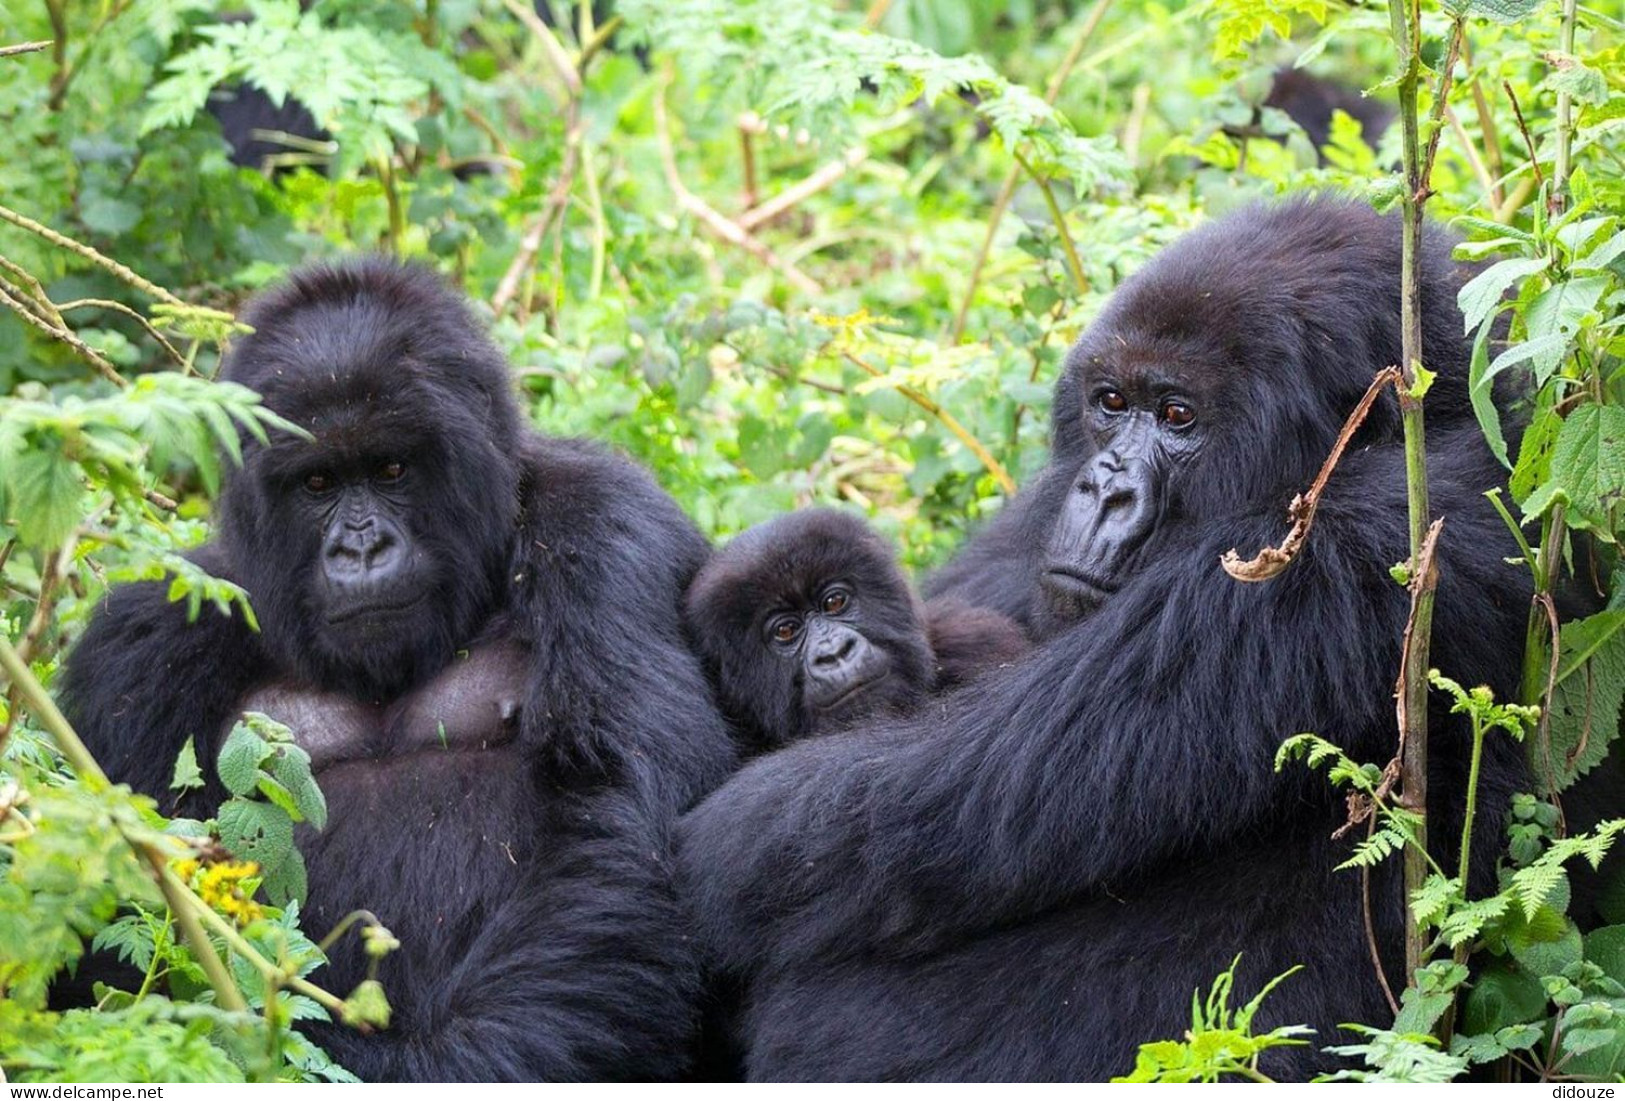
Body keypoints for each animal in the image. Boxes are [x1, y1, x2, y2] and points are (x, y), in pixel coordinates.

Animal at [63, 261, 734, 1084]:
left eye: (391, 468)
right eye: (317, 483)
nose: (360, 548)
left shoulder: (606, 529)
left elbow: (619, 820)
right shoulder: (139, 644)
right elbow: (111, 930)